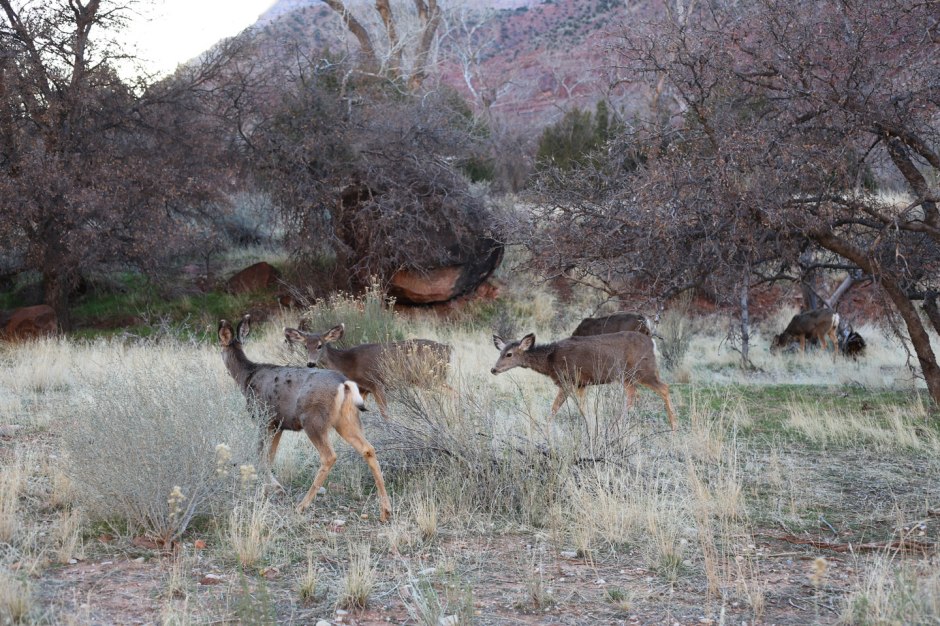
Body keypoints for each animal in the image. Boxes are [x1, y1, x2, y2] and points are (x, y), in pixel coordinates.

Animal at [219, 315, 391, 521]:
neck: (246, 377)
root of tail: (344, 383)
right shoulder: (278, 424)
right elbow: (270, 456)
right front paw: (272, 488)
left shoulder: (264, 418)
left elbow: (260, 455)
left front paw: (273, 488)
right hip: (347, 419)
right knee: (368, 449)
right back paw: (385, 511)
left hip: (314, 420)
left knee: (329, 456)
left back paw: (302, 506)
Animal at [284, 323, 451, 420]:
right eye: (306, 346)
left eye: (320, 345)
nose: (311, 363)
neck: (347, 364)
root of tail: (447, 349)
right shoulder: (363, 389)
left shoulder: (377, 383)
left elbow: (385, 414)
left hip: (430, 379)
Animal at [491, 331, 678, 431]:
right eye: (500, 352)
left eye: (509, 354)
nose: (493, 369)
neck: (550, 361)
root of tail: (652, 343)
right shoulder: (581, 384)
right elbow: (582, 408)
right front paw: (591, 426)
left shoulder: (568, 380)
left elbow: (554, 408)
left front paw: (544, 429)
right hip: (627, 376)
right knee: (633, 395)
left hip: (642, 370)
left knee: (664, 388)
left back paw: (674, 426)